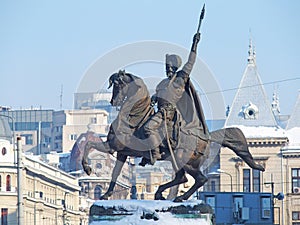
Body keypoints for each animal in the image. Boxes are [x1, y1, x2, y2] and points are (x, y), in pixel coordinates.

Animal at [81, 70, 262, 202]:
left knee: (199, 179)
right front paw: (105, 194)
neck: (132, 117)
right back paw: (161, 193)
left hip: (186, 163)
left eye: (118, 84)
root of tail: (207, 137)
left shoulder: (112, 146)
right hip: (179, 162)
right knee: (182, 178)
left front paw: (87, 168)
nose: (113, 102)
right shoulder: (122, 152)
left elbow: (89, 145)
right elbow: (114, 173)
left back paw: (179, 197)